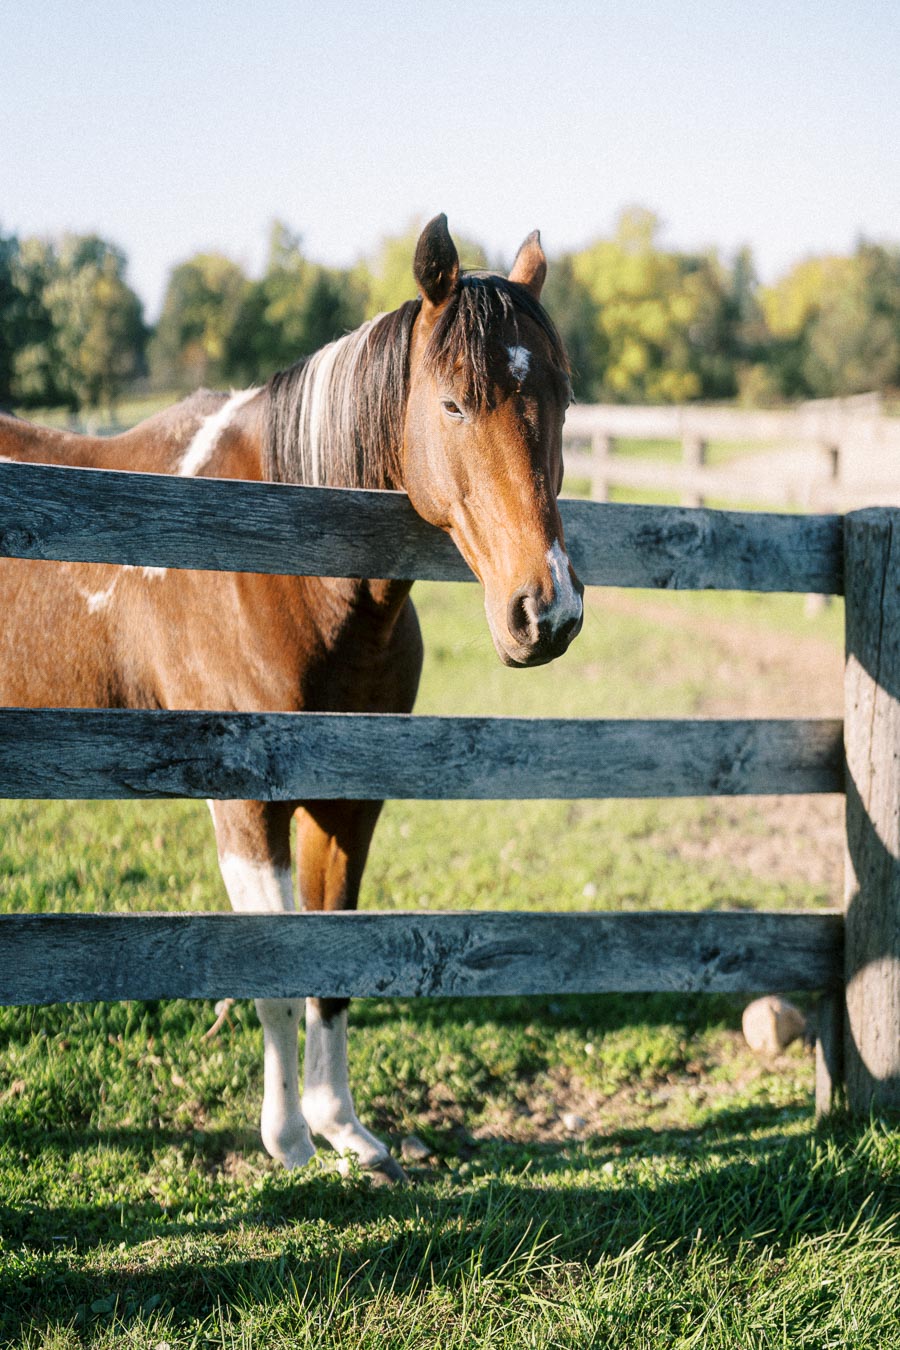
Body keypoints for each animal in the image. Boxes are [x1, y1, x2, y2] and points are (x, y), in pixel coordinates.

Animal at [0, 215, 584, 1182]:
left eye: (564, 402)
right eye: (454, 404)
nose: (548, 612)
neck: (285, 565)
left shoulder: (349, 799)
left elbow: (331, 964)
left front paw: (343, 1124)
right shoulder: (244, 804)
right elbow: (273, 973)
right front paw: (288, 1140)